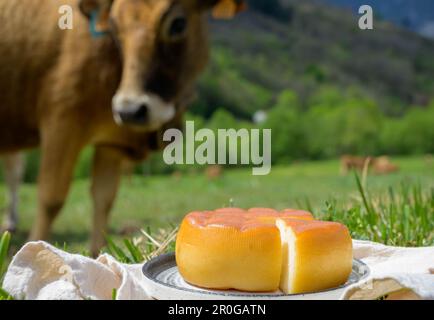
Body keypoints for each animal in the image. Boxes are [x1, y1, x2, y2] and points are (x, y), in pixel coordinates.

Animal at [0, 0, 244, 255]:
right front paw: (32, 249)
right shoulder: (61, 120)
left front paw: (97, 254)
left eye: (178, 24)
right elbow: (50, 198)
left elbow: (103, 199)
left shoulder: (112, 143)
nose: (130, 110)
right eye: (115, 28)